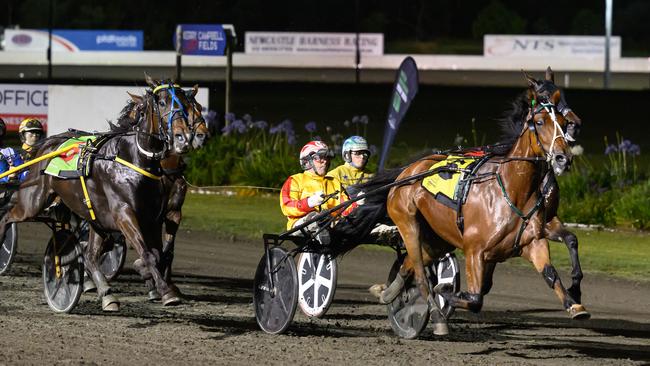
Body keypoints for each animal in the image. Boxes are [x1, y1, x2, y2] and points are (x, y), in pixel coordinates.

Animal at [0, 77, 199, 312]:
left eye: (188, 105)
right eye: (161, 102)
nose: (183, 138)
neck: (133, 158)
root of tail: (49, 144)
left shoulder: (154, 216)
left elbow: (159, 253)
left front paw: (161, 285)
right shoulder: (124, 213)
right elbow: (149, 253)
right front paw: (166, 291)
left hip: (93, 216)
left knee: (90, 256)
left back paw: (106, 294)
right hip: (33, 201)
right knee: (7, 217)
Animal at [370, 68, 588, 324]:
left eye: (561, 120)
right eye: (539, 121)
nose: (564, 157)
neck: (513, 189)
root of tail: (409, 170)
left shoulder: (535, 238)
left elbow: (553, 268)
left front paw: (574, 302)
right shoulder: (475, 249)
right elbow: (474, 298)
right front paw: (445, 292)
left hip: (437, 237)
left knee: (409, 263)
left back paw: (387, 292)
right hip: (409, 222)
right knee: (417, 267)